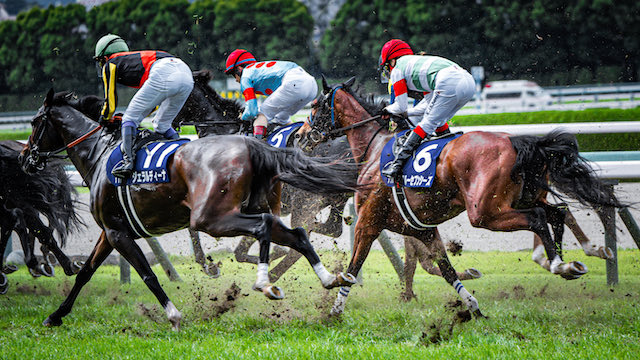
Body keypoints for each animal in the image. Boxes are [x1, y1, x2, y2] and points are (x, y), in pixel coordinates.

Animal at [18, 89, 360, 330]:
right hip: (255, 209)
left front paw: (174, 314)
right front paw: (55, 316)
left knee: (266, 227)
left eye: (35, 123)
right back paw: (329, 278)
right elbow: (85, 273)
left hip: (214, 216)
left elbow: (148, 274)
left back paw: (267, 281)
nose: (24, 157)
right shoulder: (111, 231)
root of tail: (255, 147)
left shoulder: (118, 232)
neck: (99, 154)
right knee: (299, 233)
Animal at [298, 77, 624, 316]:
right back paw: (567, 264)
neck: (375, 148)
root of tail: (517, 141)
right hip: (524, 196)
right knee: (557, 211)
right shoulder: (422, 229)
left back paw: (557, 263)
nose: (301, 136)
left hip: (485, 211)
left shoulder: (369, 221)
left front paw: (334, 311)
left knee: (539, 217)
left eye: (314, 105)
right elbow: (446, 269)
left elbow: (354, 267)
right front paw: (472, 307)